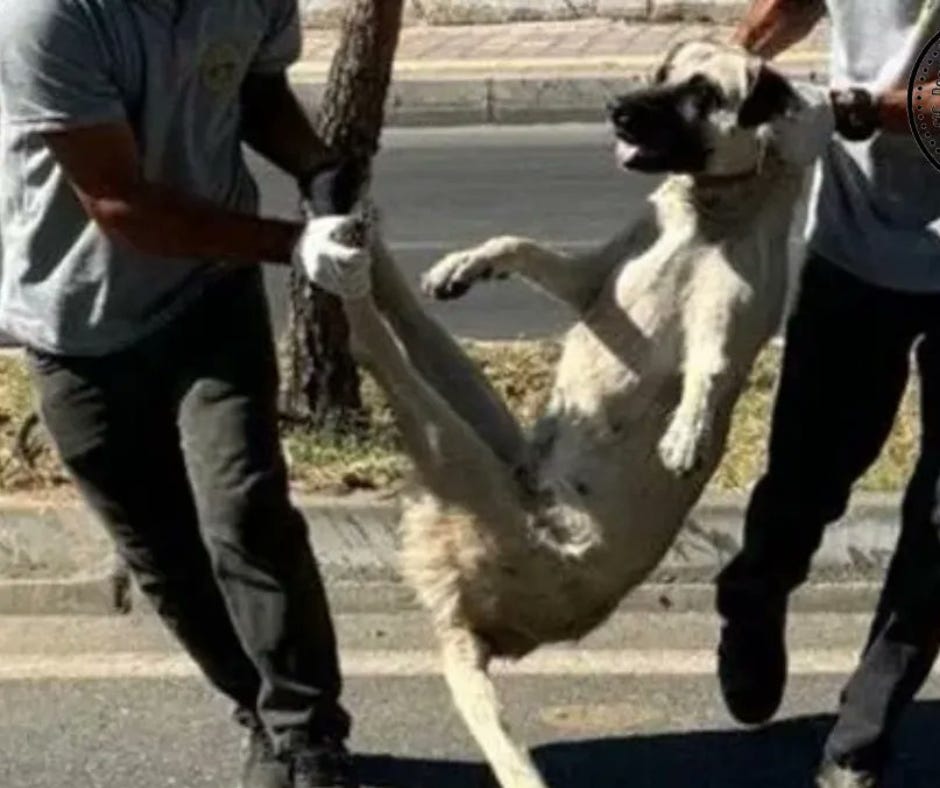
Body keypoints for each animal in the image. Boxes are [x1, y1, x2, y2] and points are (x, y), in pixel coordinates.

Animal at [324, 39, 825, 788]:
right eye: (661, 75)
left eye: (703, 93)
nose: (616, 108)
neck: (706, 216)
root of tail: (464, 623)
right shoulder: (590, 281)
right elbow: (522, 246)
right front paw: (468, 263)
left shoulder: (729, 328)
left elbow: (707, 371)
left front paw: (687, 431)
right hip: (485, 438)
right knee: (413, 329)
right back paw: (364, 240)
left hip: (467, 466)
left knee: (386, 352)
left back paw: (345, 269)